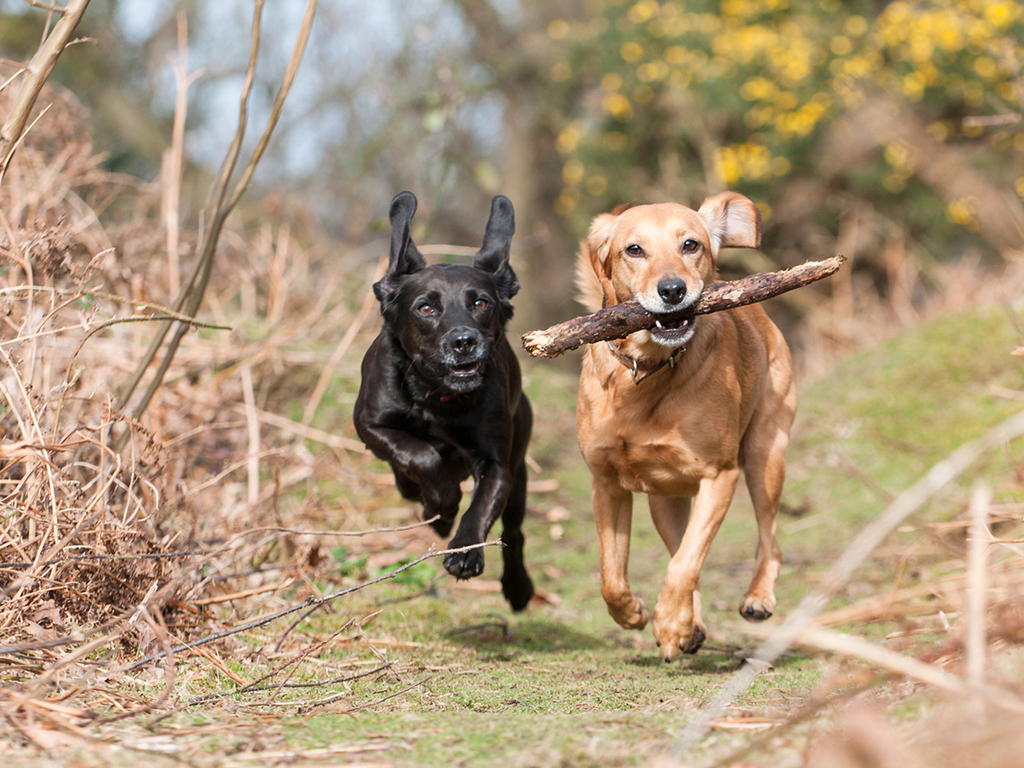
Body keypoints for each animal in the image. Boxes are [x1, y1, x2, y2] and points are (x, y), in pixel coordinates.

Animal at [354, 189, 536, 610]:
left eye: (481, 303)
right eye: (425, 307)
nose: (464, 341)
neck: (439, 398)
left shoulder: (497, 464)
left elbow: (481, 508)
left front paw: (465, 551)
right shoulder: (370, 424)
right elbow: (420, 454)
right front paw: (442, 505)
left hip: (520, 468)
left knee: (513, 532)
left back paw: (518, 587)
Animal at [573, 192, 794, 663]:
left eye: (691, 244)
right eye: (634, 250)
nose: (672, 290)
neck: (646, 373)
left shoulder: (720, 476)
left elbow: (686, 563)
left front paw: (672, 623)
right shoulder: (607, 485)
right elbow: (611, 576)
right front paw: (634, 613)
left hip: (765, 455)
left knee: (768, 537)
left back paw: (756, 597)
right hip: (665, 501)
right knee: (679, 545)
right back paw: (692, 625)